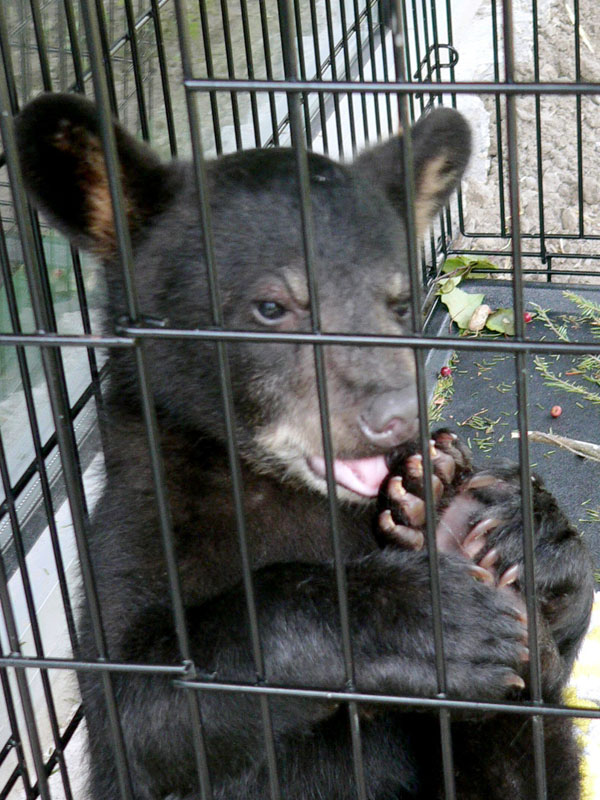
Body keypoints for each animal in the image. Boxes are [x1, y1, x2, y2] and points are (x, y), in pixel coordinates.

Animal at [16, 92, 593, 800]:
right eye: (271, 307)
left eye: (399, 303)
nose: (396, 414)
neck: (280, 486)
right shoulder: (136, 515)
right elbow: (137, 707)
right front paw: (422, 620)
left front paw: (527, 526)